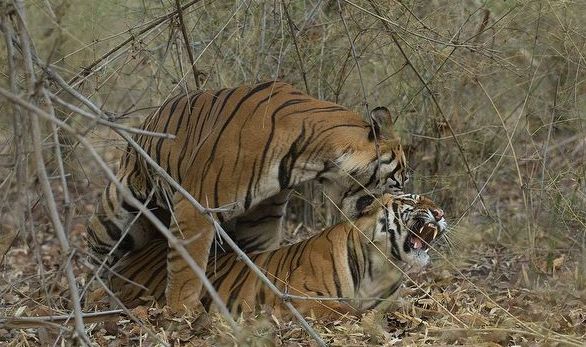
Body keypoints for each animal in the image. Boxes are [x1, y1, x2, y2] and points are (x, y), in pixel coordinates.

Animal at [85, 80, 406, 312]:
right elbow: (187, 264)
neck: (314, 157)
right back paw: (90, 296)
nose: (398, 199)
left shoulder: (262, 214)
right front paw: (180, 313)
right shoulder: (195, 205)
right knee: (95, 252)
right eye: (397, 181)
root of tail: (149, 119)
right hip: (118, 212)